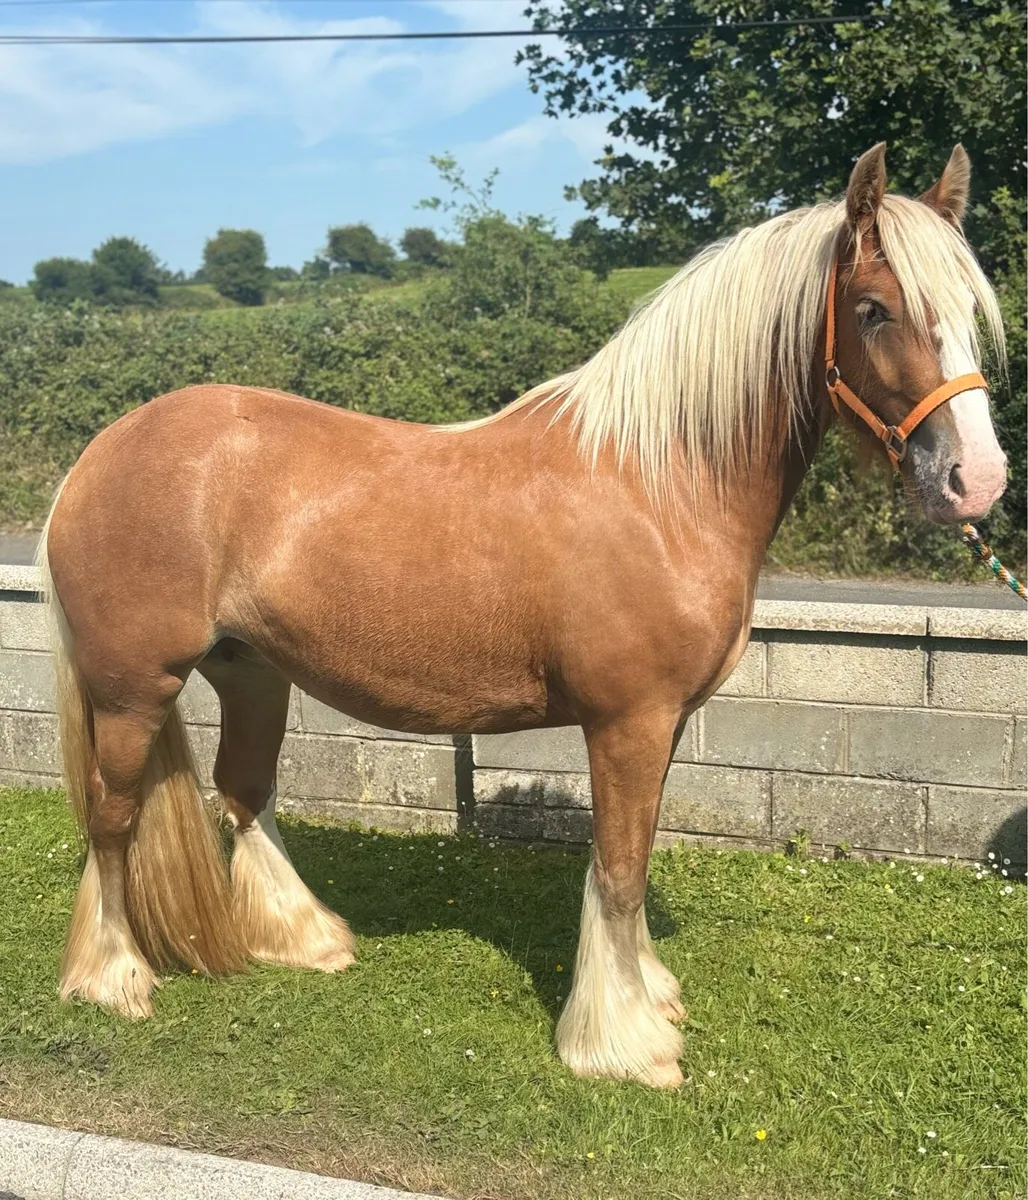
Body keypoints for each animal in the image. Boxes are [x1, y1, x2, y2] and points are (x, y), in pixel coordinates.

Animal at [38, 143, 1007, 1088]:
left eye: (969, 304)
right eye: (875, 310)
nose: (978, 480)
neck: (659, 483)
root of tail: (97, 457)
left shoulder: (659, 725)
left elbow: (634, 860)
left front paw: (648, 995)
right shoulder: (627, 723)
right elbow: (618, 870)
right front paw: (623, 1044)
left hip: (250, 671)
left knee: (242, 790)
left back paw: (303, 939)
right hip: (135, 690)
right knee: (112, 818)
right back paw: (113, 977)